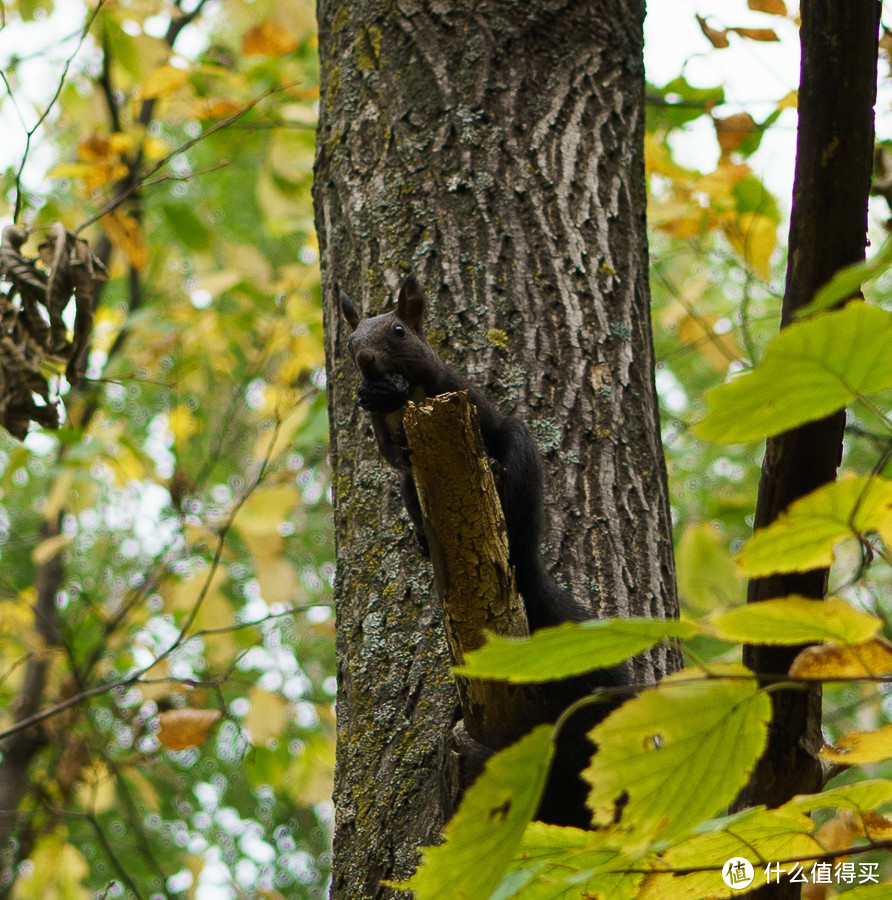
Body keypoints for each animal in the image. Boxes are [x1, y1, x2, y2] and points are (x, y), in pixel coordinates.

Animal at [338, 274, 624, 828]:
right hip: (411, 492)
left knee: (510, 468)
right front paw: (375, 393)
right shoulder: (388, 438)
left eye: (399, 330)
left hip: (520, 457)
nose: (365, 360)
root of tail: (526, 561)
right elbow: (391, 452)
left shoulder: (459, 393)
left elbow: (464, 404)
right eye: (350, 340)